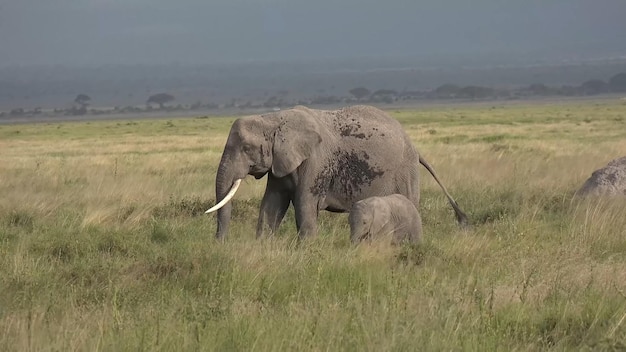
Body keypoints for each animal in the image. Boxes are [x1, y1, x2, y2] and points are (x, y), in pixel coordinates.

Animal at [207, 104, 466, 239]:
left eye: (246, 148)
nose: (221, 244)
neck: (273, 117)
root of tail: (415, 147)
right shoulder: (281, 162)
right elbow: (272, 204)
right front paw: (263, 247)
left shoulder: (316, 161)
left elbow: (304, 206)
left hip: (405, 172)